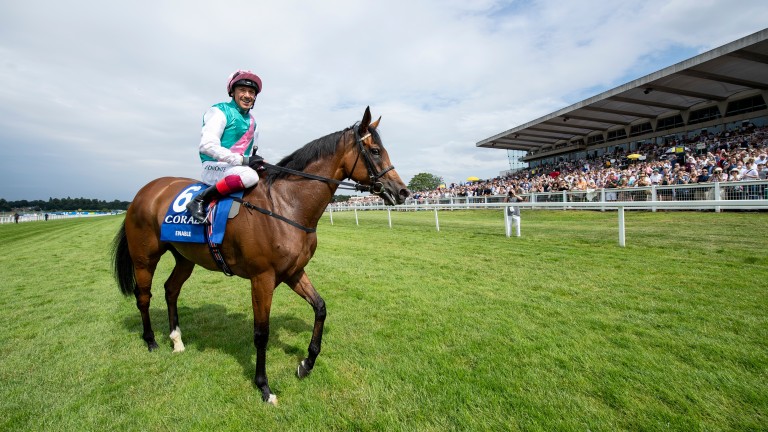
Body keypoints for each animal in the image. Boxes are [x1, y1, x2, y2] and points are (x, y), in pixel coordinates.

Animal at [112, 106, 412, 404]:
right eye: (375, 151)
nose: (403, 191)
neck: (286, 205)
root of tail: (144, 192)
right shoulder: (262, 278)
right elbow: (261, 332)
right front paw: (264, 387)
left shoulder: (293, 272)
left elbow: (320, 307)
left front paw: (307, 363)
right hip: (145, 258)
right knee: (144, 296)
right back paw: (151, 340)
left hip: (185, 257)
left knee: (171, 289)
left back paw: (176, 339)